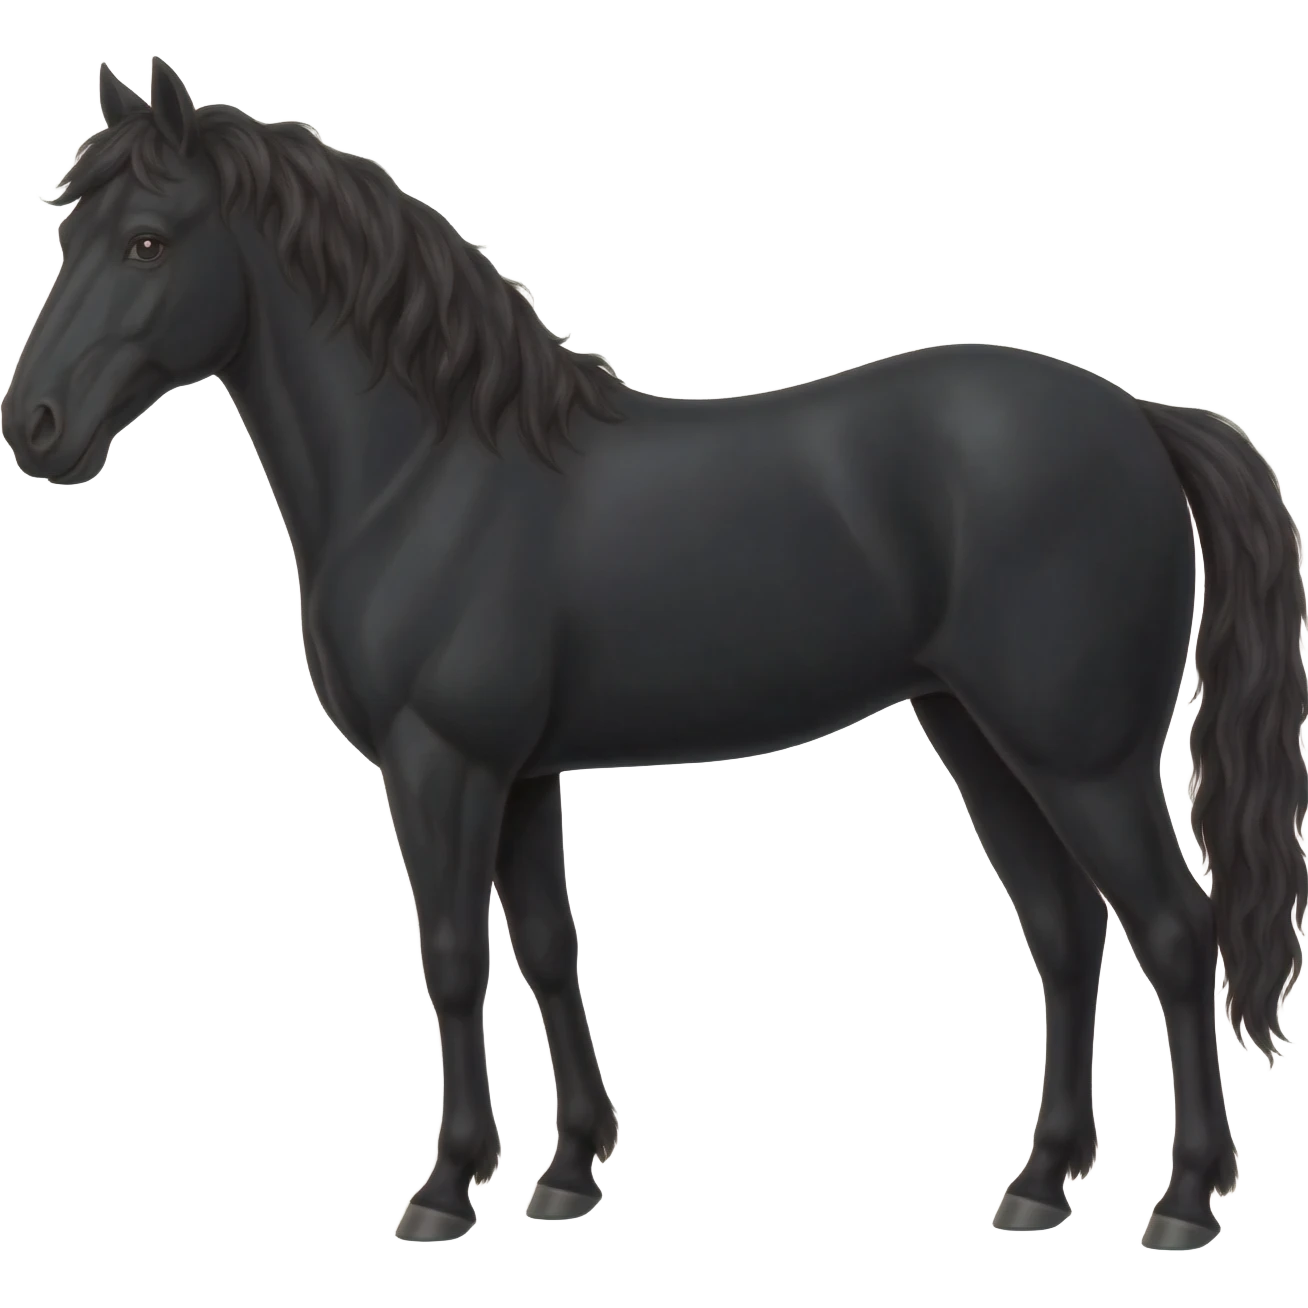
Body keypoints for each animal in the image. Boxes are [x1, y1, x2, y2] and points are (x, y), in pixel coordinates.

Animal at [3, 58, 1304, 1251]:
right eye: (69, 231)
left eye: (147, 243)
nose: (36, 428)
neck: (429, 474)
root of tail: (1140, 419)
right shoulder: (521, 774)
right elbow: (547, 951)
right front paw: (569, 1170)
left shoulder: (441, 765)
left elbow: (455, 960)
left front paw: (446, 1187)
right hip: (980, 737)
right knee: (1066, 934)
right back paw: (1038, 1184)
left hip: (1084, 760)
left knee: (1175, 934)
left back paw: (1184, 1200)